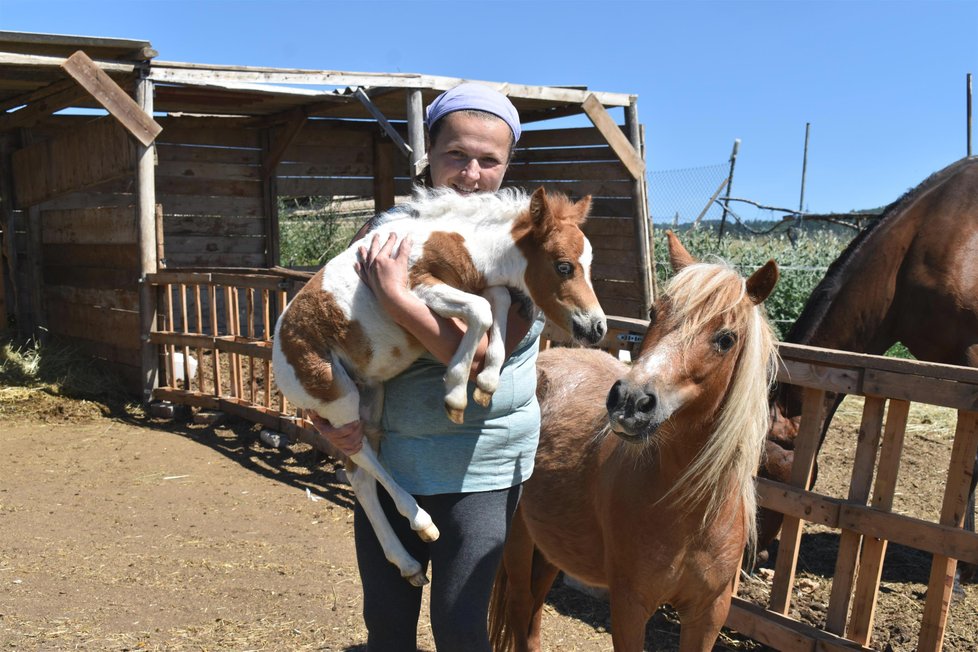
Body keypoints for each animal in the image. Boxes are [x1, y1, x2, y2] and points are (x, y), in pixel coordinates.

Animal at [266, 185, 604, 584]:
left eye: (589, 264)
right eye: (563, 266)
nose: (597, 328)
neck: (463, 242)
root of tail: (277, 350)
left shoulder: (482, 286)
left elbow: (498, 302)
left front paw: (486, 380)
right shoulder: (418, 287)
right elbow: (481, 311)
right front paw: (456, 393)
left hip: (371, 397)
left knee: (359, 474)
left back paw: (407, 562)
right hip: (337, 398)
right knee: (362, 456)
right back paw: (421, 522)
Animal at [488, 232, 776, 648]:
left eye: (726, 339)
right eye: (654, 313)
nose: (630, 401)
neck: (691, 511)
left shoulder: (708, 615)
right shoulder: (629, 605)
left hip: (550, 548)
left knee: (533, 614)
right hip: (518, 541)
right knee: (520, 606)